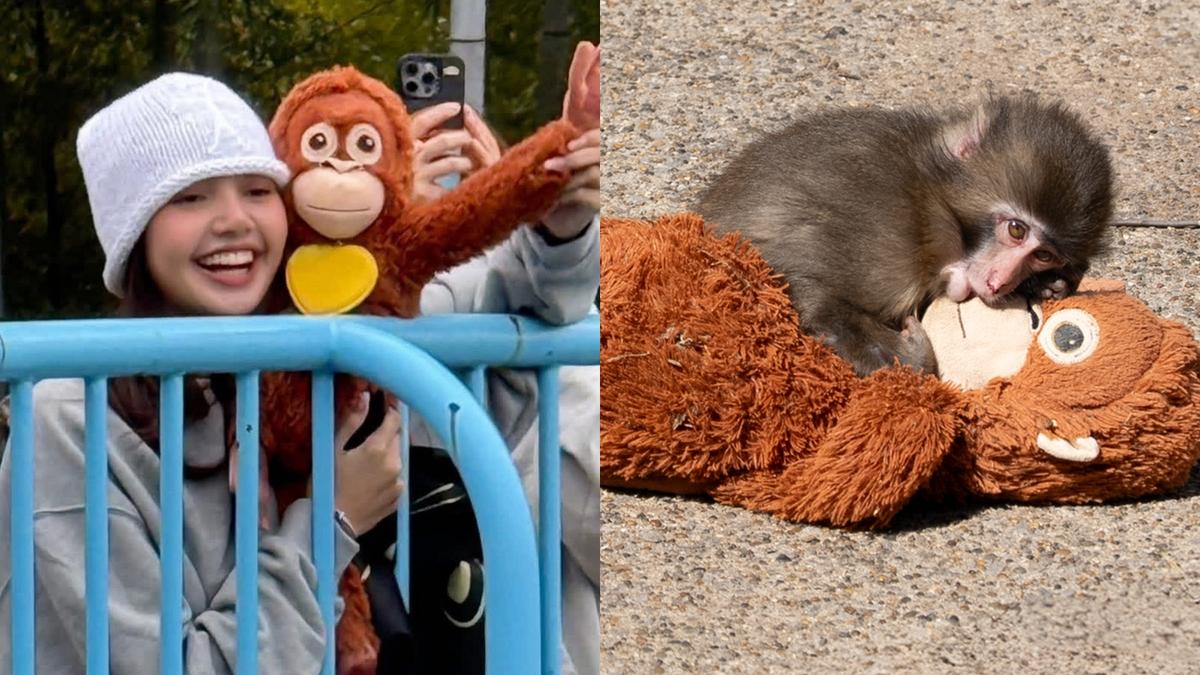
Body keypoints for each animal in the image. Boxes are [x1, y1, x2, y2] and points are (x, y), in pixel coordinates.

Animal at [696, 94, 1113, 376]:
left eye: (1043, 255)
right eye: (1016, 229)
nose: (1000, 282)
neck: (929, 202)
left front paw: (1047, 285)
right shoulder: (885, 236)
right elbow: (802, 289)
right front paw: (914, 356)